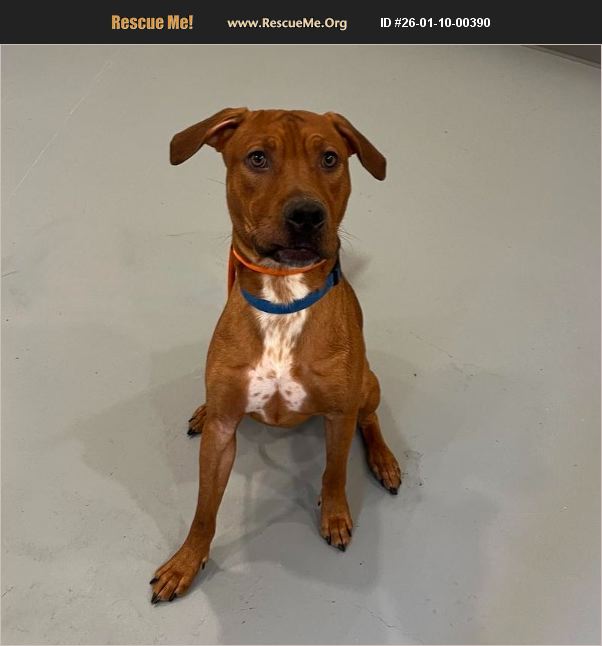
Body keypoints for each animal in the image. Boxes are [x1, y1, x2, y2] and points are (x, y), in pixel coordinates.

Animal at [150, 108, 401, 603]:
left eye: (330, 158)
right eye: (257, 158)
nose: (306, 215)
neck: (284, 300)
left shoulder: (339, 415)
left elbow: (334, 472)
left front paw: (335, 514)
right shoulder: (222, 435)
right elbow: (204, 508)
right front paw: (187, 561)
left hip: (368, 382)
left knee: (370, 418)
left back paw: (383, 459)